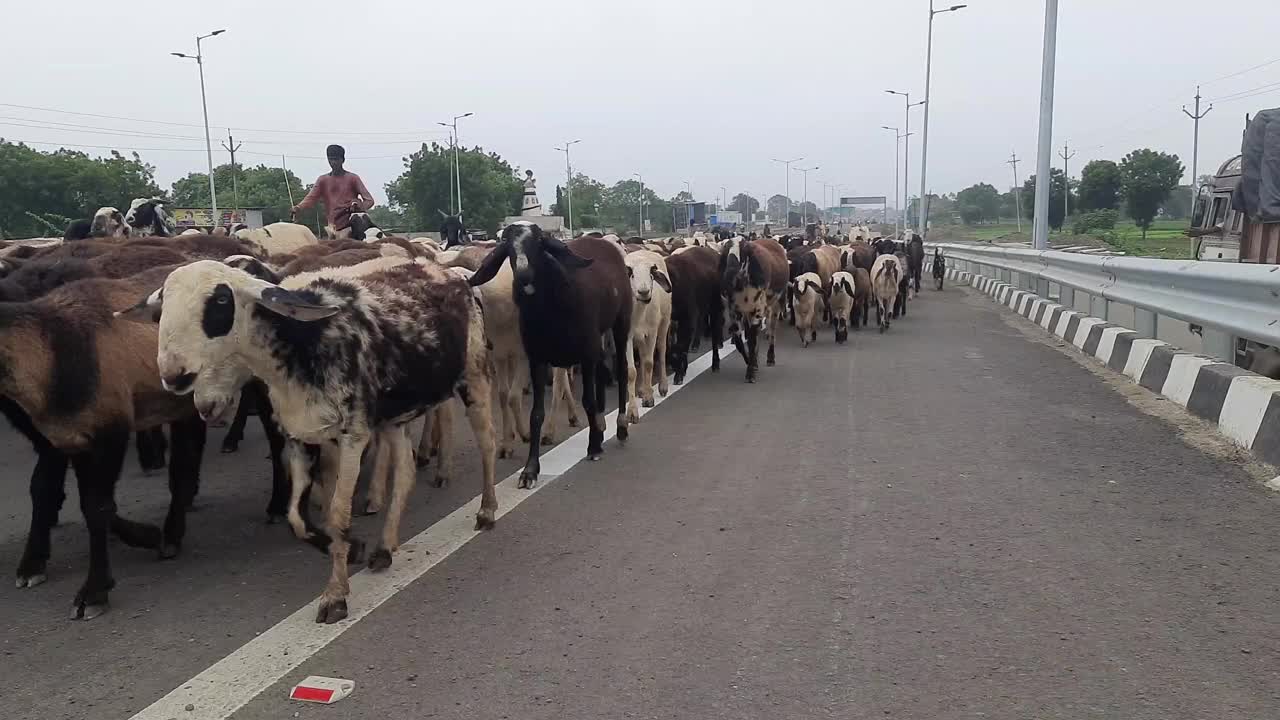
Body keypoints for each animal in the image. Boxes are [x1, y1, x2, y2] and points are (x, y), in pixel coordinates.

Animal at [468, 221, 632, 484]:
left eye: (539, 241)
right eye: (507, 245)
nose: (524, 275)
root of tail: (600, 241)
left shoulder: (585, 354)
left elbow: (587, 401)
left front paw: (593, 447)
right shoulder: (536, 358)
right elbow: (536, 414)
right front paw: (530, 469)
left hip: (620, 321)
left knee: (624, 371)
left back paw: (621, 425)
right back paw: (601, 427)